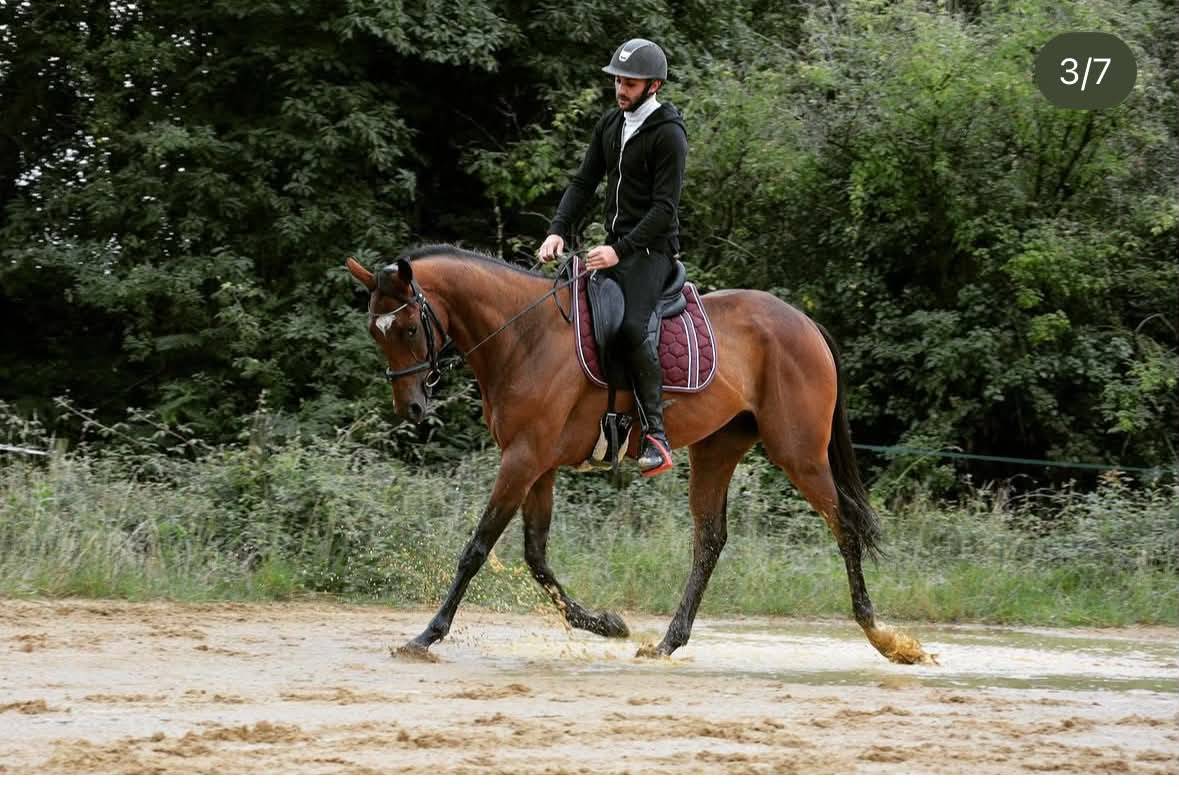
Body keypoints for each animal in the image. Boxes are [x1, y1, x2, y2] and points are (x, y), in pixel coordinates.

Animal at [346, 245, 934, 665]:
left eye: (406, 327)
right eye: (374, 333)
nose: (412, 408)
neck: (524, 335)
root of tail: (803, 321)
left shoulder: (523, 460)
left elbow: (478, 548)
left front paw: (427, 635)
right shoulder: (536, 465)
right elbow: (536, 557)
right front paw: (606, 624)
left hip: (800, 453)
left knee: (844, 527)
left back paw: (884, 638)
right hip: (718, 450)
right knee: (710, 542)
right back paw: (668, 642)